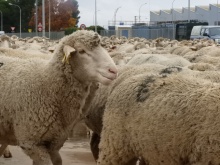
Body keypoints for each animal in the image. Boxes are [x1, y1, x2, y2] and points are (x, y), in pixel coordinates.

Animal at [0, 30, 118, 164]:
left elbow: (58, 160)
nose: (113, 71)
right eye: (81, 51)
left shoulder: (55, 142)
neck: (47, 84)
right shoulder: (32, 143)